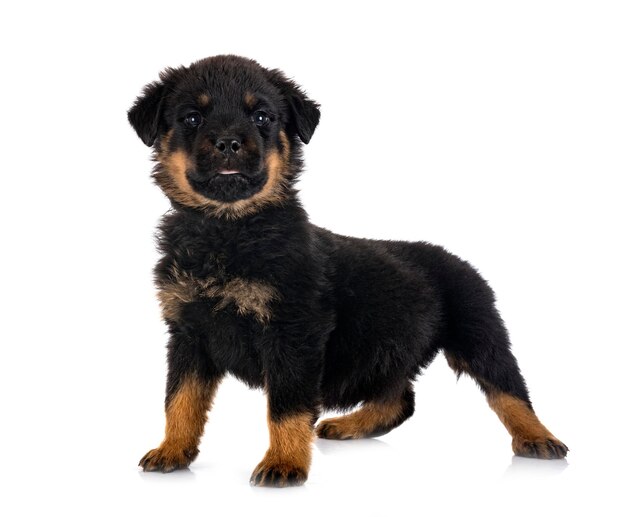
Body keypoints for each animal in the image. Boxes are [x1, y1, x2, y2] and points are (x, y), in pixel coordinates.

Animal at [127, 54, 564, 486]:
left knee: (509, 389)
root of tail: (458, 260)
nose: (229, 142)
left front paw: (284, 462)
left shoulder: (294, 334)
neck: (227, 230)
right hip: (391, 353)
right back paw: (351, 425)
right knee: (402, 398)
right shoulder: (188, 333)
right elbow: (180, 399)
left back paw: (539, 438)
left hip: (479, 334)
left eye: (262, 117)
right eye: (192, 118)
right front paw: (172, 449)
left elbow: (285, 406)